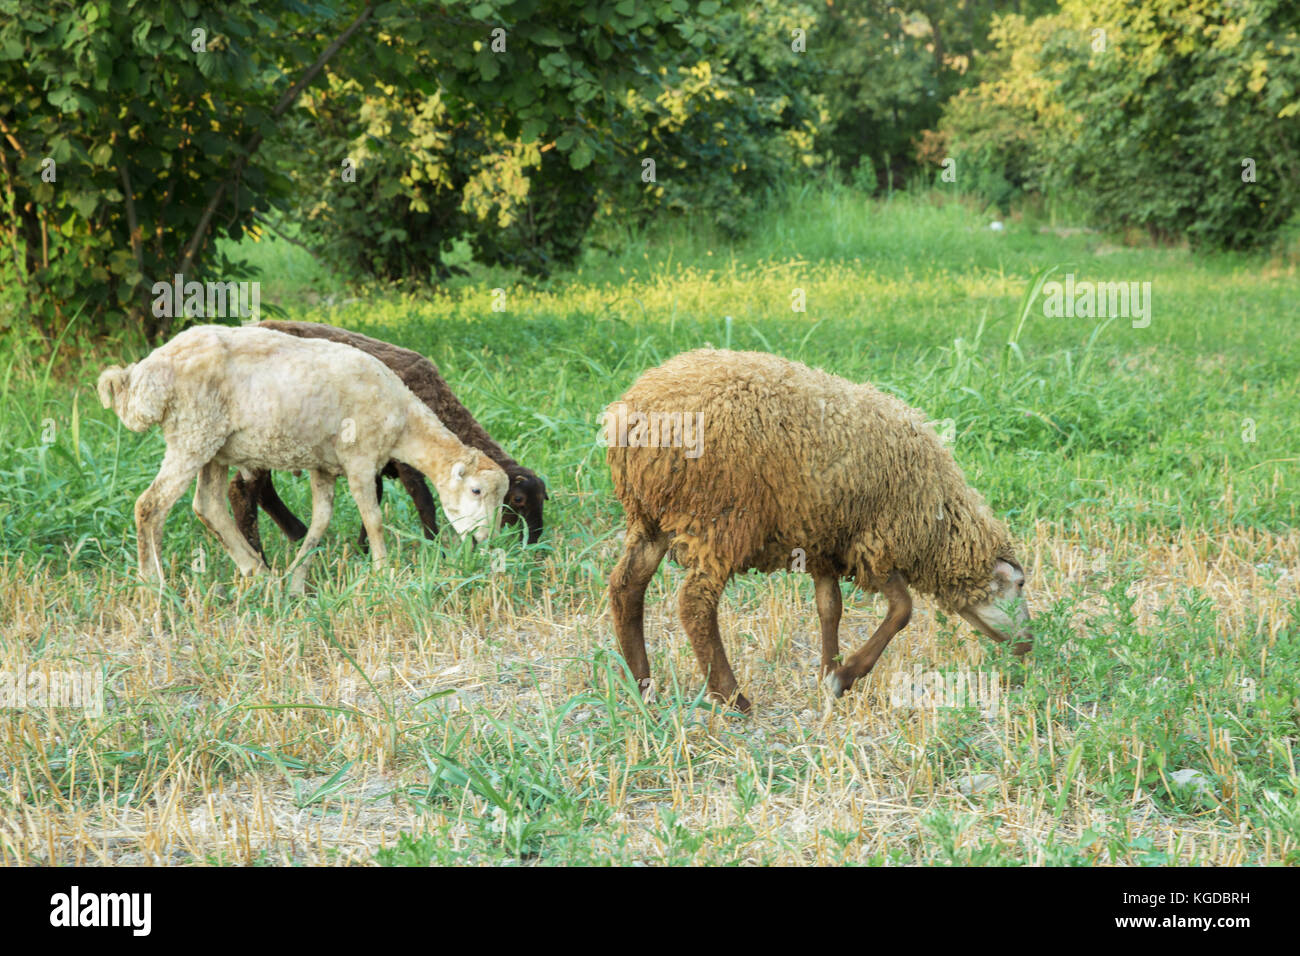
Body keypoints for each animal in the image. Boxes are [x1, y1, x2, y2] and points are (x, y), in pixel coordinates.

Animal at [97, 324, 509, 593]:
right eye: (475, 491)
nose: (484, 539)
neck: (404, 420)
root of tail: (142, 376)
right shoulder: (359, 461)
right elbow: (374, 520)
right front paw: (383, 574)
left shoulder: (324, 468)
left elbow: (319, 525)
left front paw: (295, 581)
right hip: (192, 436)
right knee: (150, 505)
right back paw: (154, 585)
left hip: (213, 445)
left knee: (207, 505)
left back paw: (257, 573)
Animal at [226, 320, 547, 559]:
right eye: (517, 500)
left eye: (543, 499)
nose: (534, 546)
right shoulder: (402, 461)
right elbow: (424, 501)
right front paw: (437, 549)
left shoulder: (376, 460)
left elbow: (376, 499)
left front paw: (362, 550)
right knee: (240, 491)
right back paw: (260, 556)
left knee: (262, 491)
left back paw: (298, 535)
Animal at [605, 348, 1031, 713]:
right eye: (1020, 584)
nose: (1029, 644)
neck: (937, 523)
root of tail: (637, 410)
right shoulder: (875, 541)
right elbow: (902, 610)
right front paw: (845, 676)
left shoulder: (825, 543)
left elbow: (830, 608)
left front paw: (828, 672)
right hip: (721, 518)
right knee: (695, 604)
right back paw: (733, 698)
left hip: (650, 517)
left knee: (626, 587)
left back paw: (643, 685)